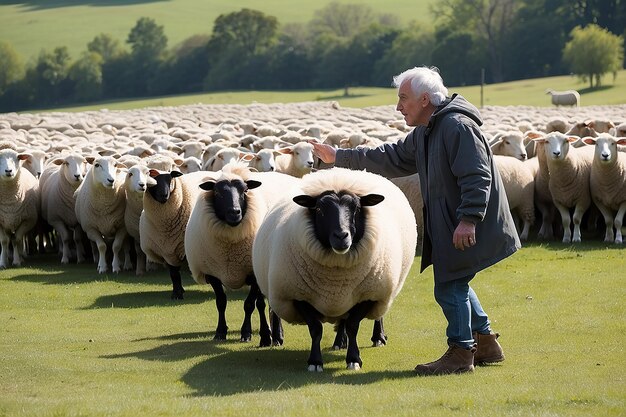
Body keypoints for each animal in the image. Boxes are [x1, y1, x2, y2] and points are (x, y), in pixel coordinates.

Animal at [183, 162, 300, 344]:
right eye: (217, 192)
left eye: (244, 191)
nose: (234, 212)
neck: (229, 249)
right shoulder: (212, 273)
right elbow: (221, 302)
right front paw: (220, 332)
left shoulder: (254, 274)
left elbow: (250, 304)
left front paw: (247, 333)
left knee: (268, 305)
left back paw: (275, 335)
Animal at [251, 167, 416, 368]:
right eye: (319, 209)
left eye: (357, 209)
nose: (341, 236)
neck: (335, 280)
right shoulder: (298, 296)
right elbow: (316, 329)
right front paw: (315, 362)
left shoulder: (368, 296)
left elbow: (353, 326)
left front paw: (354, 359)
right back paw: (339, 342)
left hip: (381, 287)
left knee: (376, 314)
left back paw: (377, 337)